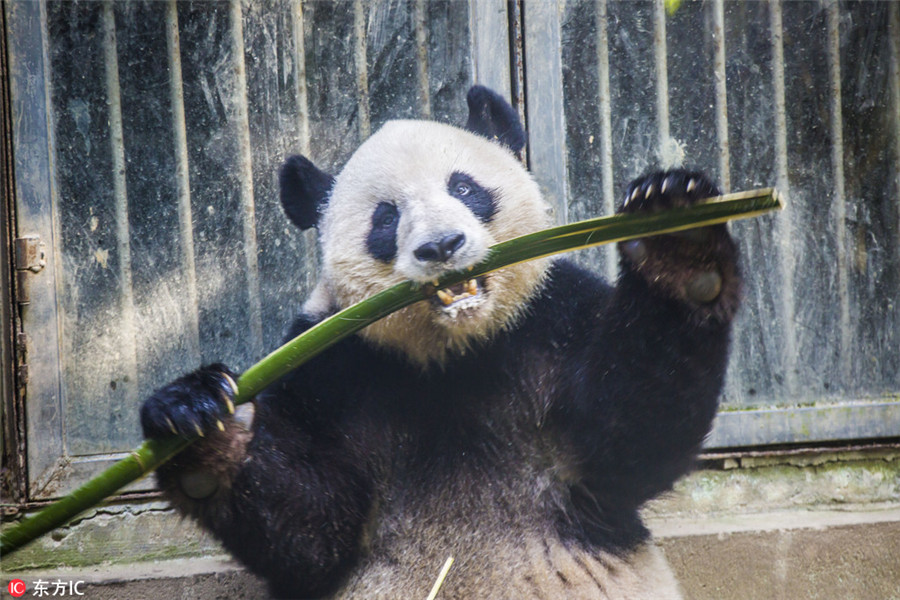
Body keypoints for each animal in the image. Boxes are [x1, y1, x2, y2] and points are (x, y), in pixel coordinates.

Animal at [142, 85, 740, 600]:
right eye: (386, 218)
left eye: (465, 188)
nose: (442, 246)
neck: (457, 351)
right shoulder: (328, 366)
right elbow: (313, 531)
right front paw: (200, 423)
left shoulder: (556, 320)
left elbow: (631, 438)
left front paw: (679, 239)